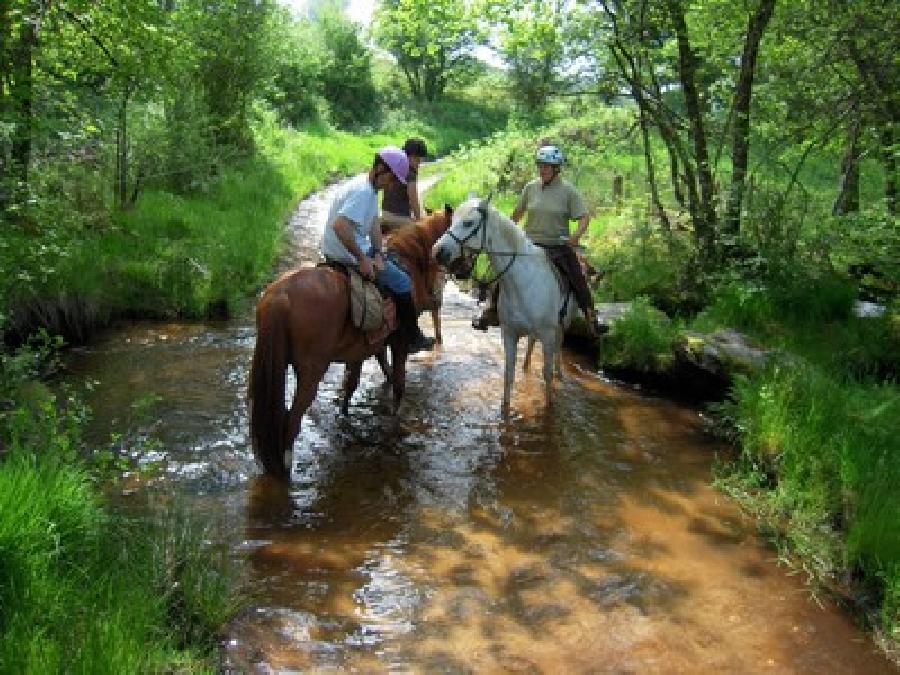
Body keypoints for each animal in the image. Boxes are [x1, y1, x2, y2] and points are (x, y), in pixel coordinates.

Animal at [250, 209, 454, 478]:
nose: (438, 297)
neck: (409, 260)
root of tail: (280, 294)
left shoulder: (362, 349)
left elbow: (351, 384)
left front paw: (345, 416)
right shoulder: (398, 343)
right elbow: (398, 384)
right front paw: (396, 419)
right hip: (311, 372)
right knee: (291, 422)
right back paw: (285, 470)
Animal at [430, 198, 576, 414]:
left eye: (469, 223)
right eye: (453, 219)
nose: (437, 251)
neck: (523, 282)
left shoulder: (548, 334)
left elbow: (546, 374)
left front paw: (549, 406)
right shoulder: (509, 333)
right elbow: (509, 373)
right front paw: (505, 410)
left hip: (561, 327)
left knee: (558, 351)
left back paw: (559, 373)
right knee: (531, 344)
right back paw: (526, 366)